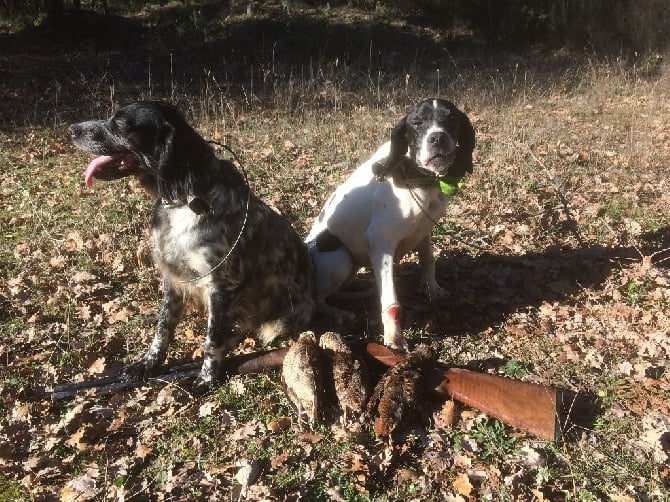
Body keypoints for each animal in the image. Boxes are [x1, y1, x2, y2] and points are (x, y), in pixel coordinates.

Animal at [69, 100, 316, 386]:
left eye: (119, 123)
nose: (71, 129)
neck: (184, 201)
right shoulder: (172, 277)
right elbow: (163, 327)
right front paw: (149, 363)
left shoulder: (221, 285)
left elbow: (213, 339)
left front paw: (207, 379)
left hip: (284, 318)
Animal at [308, 98, 476, 350]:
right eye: (417, 123)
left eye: (452, 119)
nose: (438, 137)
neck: (420, 179)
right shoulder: (380, 243)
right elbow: (391, 301)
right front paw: (394, 337)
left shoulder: (423, 231)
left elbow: (428, 261)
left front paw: (434, 291)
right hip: (340, 256)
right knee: (318, 300)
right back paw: (340, 313)